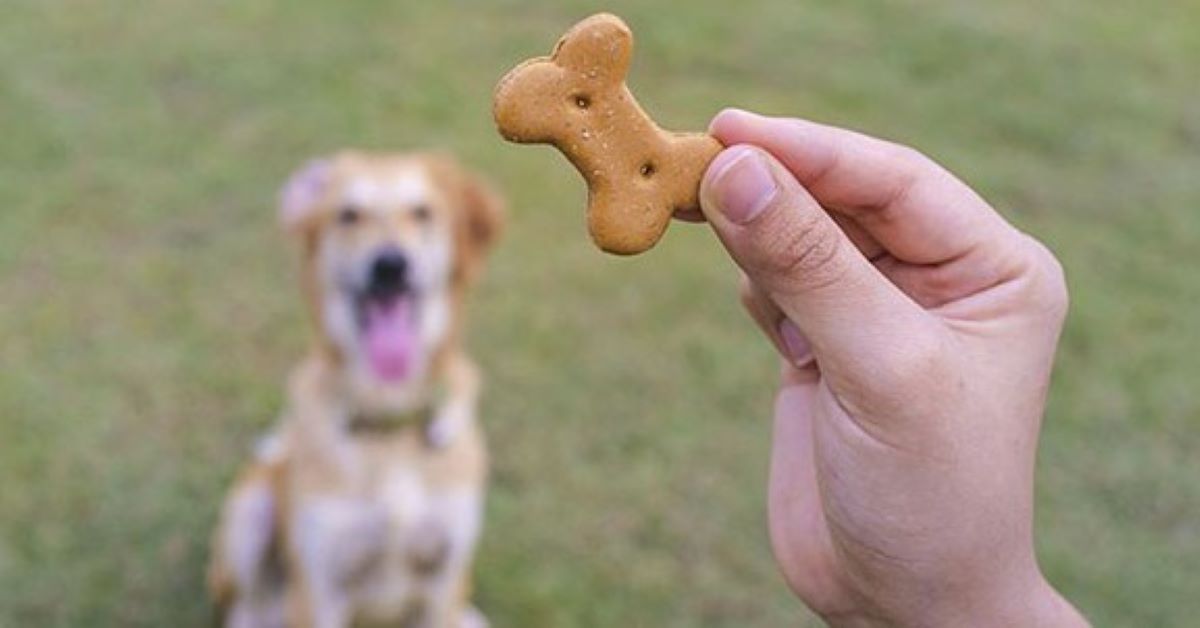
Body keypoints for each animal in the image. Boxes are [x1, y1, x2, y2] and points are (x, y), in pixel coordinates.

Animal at [208, 151, 504, 628]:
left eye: (422, 212)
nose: (390, 265)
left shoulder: (446, 575)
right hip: (249, 512)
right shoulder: (319, 589)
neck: (388, 417)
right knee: (244, 607)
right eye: (348, 215)